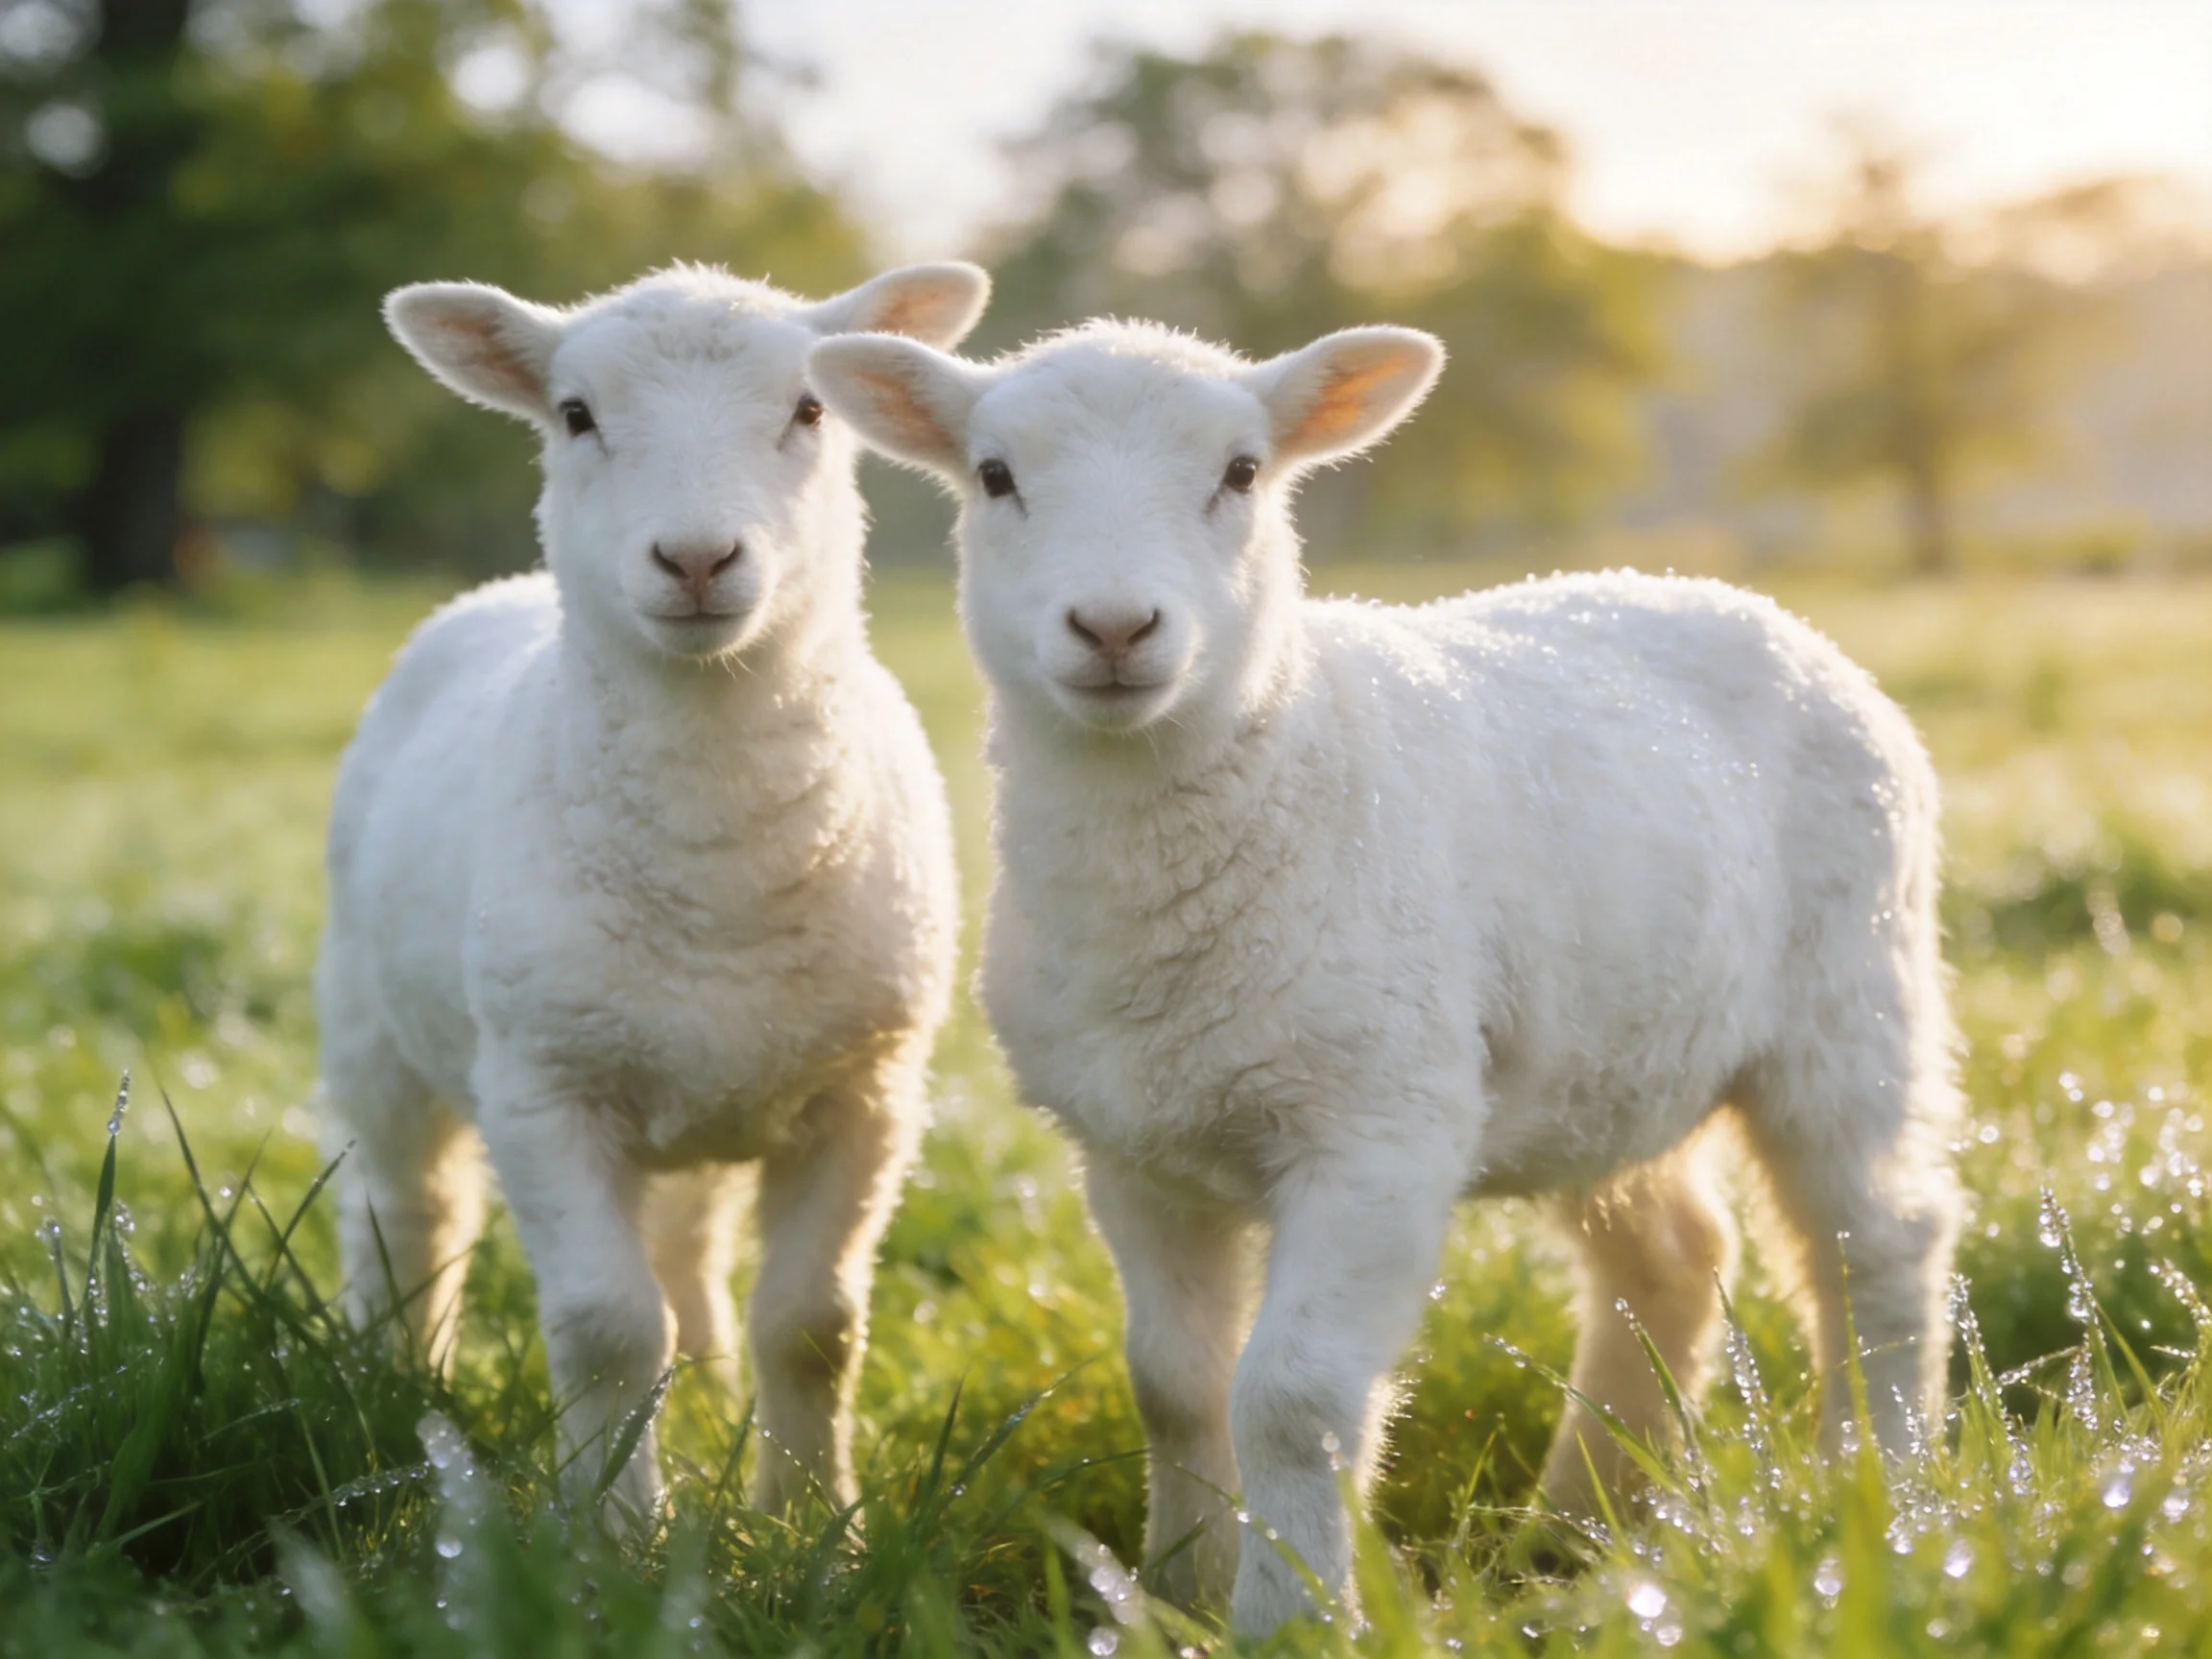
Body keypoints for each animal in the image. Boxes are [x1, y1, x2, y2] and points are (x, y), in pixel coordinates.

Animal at [317, 260, 986, 1526]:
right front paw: (614, 1534)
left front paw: (809, 1525)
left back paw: (715, 1396)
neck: (716, 868)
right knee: (408, 1213)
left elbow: (815, 1325)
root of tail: (500, 591)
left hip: (714, 1080)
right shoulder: (543, 1085)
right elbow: (606, 1328)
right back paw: (394, 1384)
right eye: (576, 415)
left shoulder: (868, 1090)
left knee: (689, 1249)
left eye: (811, 409)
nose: (696, 561)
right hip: (375, 1030)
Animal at [808, 318, 1964, 1633]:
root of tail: (1736, 599)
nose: (1112, 630)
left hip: (1853, 990)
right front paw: (1179, 1591)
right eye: (995, 475)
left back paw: (1877, 1494)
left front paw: (1288, 1619)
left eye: (1243, 473)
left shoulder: (1375, 1132)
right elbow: (1174, 1383)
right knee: (1672, 1255)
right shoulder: (1134, 1152)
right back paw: (1582, 1524)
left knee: (1881, 1242)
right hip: (1604, 1060)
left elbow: (1293, 1398)